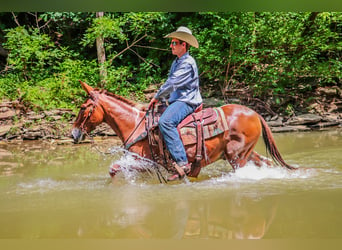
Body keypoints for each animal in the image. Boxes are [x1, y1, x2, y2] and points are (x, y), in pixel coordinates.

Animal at [71, 80, 294, 180]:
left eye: (82, 107)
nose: (73, 134)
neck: (135, 124)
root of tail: (255, 113)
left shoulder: (145, 161)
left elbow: (115, 169)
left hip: (236, 155)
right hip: (245, 153)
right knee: (265, 162)